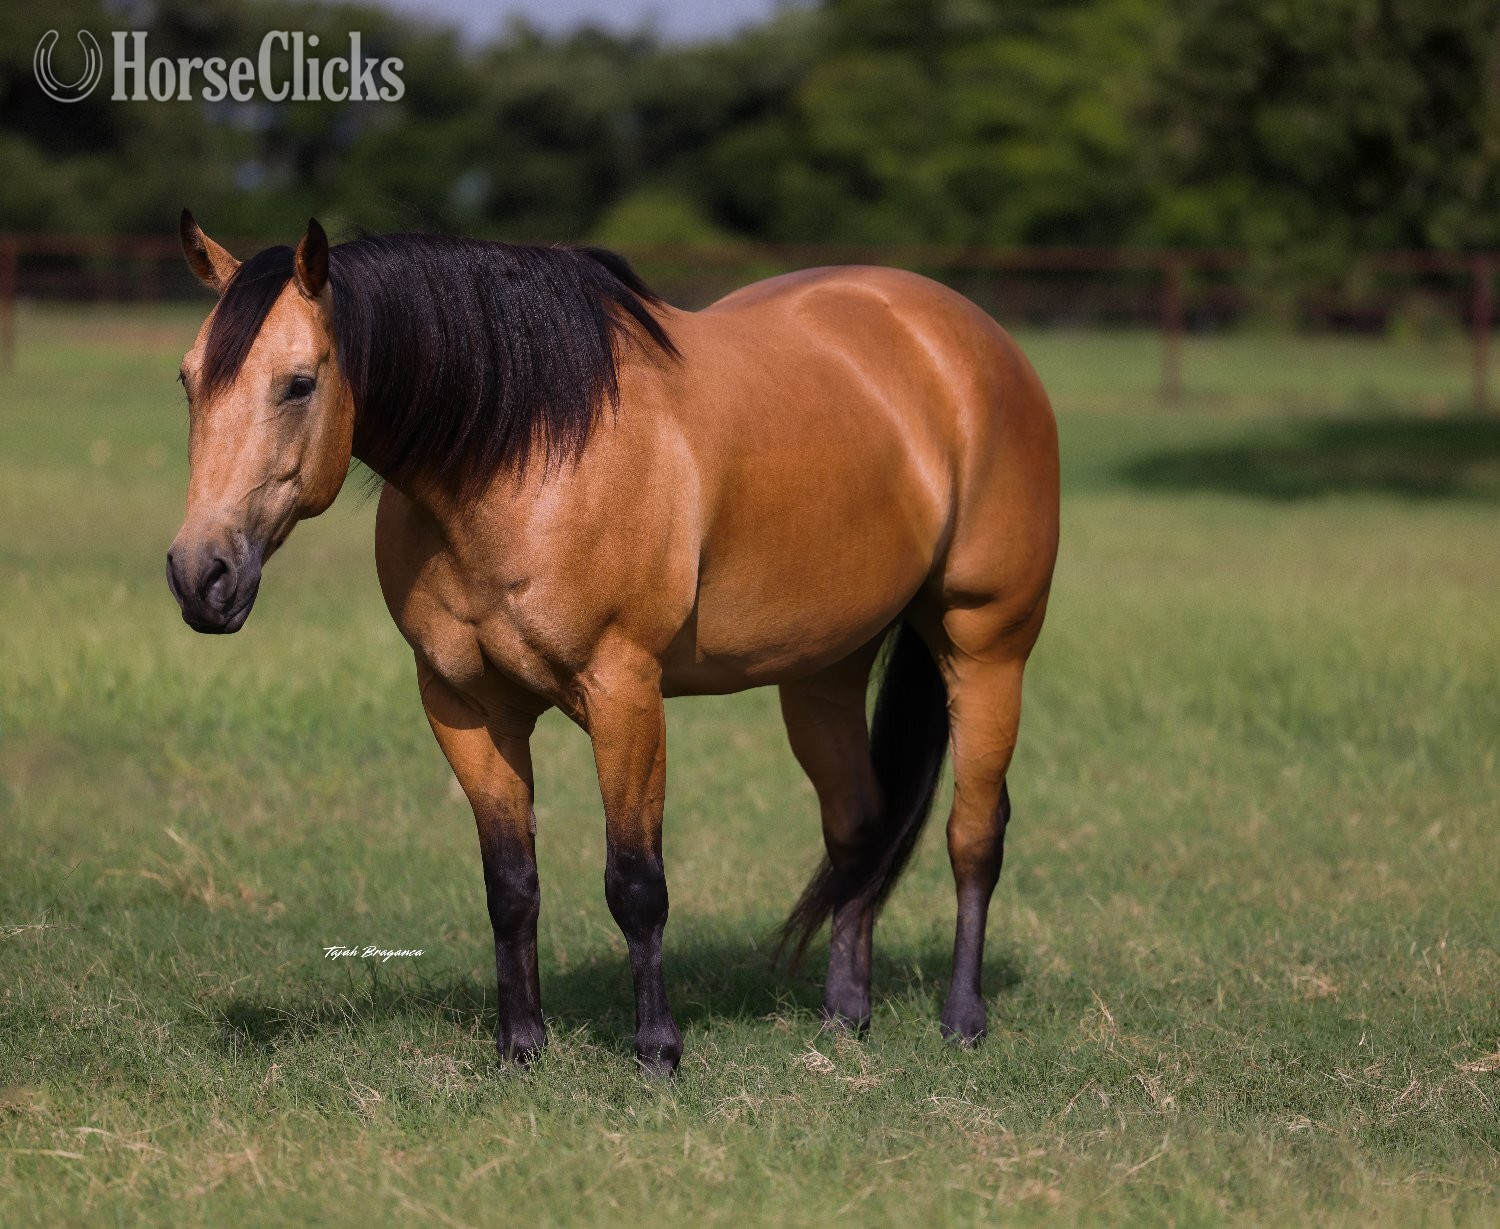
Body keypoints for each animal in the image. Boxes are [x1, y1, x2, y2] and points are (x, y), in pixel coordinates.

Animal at [167, 212, 1059, 1076]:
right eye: (188, 379)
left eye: (299, 383)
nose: (199, 574)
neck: (521, 453)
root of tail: (969, 337)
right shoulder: (464, 705)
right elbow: (510, 883)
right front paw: (521, 1047)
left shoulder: (623, 690)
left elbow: (635, 882)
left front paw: (657, 1050)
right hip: (823, 670)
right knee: (859, 826)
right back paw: (845, 1014)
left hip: (987, 647)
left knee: (974, 832)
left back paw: (963, 1019)